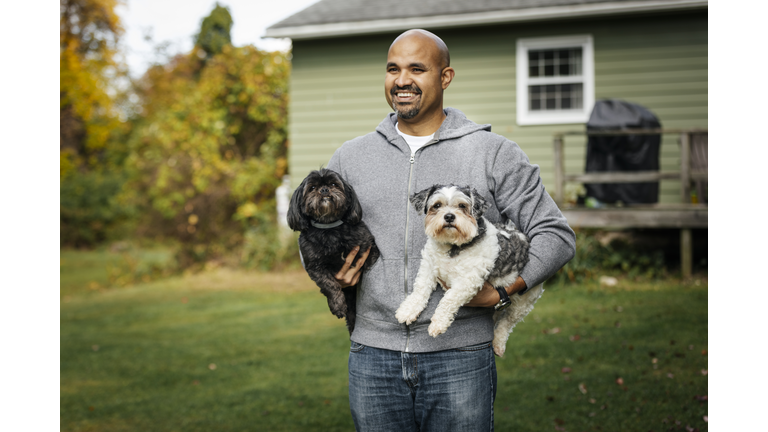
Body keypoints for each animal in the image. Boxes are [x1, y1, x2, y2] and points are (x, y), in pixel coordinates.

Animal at [286, 169, 380, 334]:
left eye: (334, 184)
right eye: (312, 188)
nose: (324, 190)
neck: (329, 227)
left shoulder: (366, 241)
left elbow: (369, 258)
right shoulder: (315, 267)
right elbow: (329, 285)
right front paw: (337, 305)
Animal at [396, 184, 544, 356]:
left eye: (462, 206)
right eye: (437, 205)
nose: (449, 216)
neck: (452, 246)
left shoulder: (467, 282)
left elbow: (448, 300)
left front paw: (438, 323)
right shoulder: (428, 267)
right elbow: (420, 289)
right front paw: (408, 310)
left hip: (524, 301)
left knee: (506, 323)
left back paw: (498, 344)